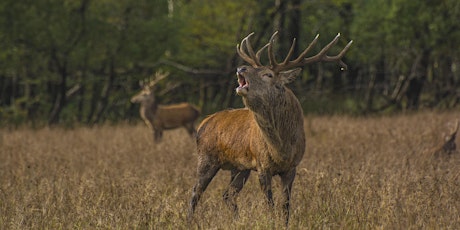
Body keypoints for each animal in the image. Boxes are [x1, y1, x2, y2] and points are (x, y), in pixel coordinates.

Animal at [187, 30, 352, 225]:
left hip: (239, 167)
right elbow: (270, 204)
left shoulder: (292, 167)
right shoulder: (262, 165)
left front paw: (285, 224)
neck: (281, 148)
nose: (241, 68)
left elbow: (285, 205)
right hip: (206, 157)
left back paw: (236, 220)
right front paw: (271, 222)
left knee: (228, 194)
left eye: (268, 74)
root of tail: (203, 122)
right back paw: (188, 221)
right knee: (196, 192)